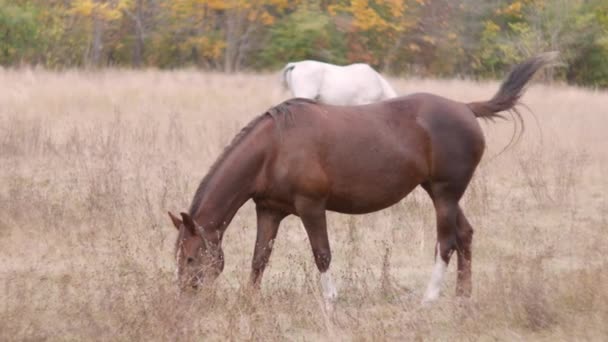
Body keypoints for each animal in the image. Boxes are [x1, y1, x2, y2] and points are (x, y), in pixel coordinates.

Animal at [167, 54, 556, 304]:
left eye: (191, 258)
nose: (185, 299)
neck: (274, 147)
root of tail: (466, 108)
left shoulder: (311, 207)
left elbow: (322, 254)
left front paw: (330, 301)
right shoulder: (270, 210)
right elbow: (259, 257)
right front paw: (250, 301)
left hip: (445, 194)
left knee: (446, 242)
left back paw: (430, 298)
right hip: (439, 192)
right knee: (465, 235)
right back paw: (462, 297)